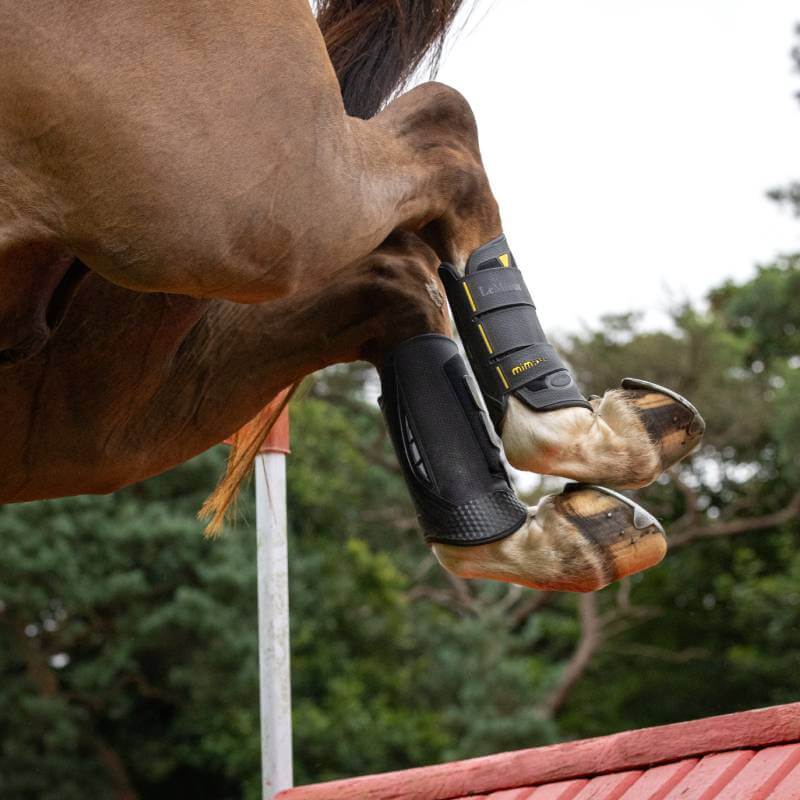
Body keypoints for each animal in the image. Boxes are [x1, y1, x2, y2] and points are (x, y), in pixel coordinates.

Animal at [0, 0, 704, 592]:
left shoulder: (74, 422)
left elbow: (397, 290)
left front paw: (516, 538)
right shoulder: (242, 191)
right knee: (445, 125)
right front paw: (578, 433)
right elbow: (447, 141)